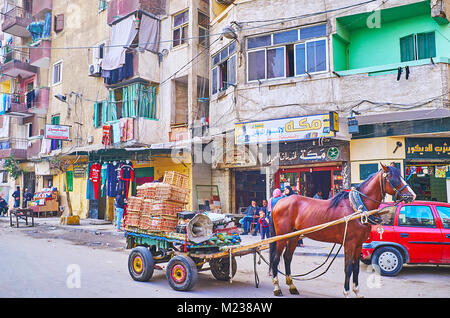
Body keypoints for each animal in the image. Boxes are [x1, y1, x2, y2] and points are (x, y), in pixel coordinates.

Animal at [268, 163, 416, 296]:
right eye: (393, 178)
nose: (412, 195)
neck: (357, 209)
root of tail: (279, 202)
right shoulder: (349, 244)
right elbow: (348, 268)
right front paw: (346, 292)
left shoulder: (358, 244)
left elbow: (356, 268)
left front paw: (357, 292)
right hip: (282, 236)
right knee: (276, 258)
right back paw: (276, 287)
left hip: (294, 236)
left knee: (287, 257)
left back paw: (292, 286)